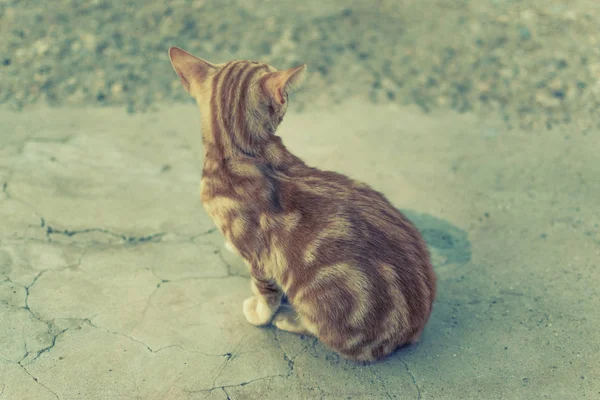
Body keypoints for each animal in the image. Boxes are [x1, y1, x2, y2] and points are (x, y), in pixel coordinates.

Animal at [168, 47, 436, 362]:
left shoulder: (259, 258)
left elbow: (266, 294)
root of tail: (416, 327)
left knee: (317, 328)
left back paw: (290, 319)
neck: (240, 151)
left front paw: (260, 314)